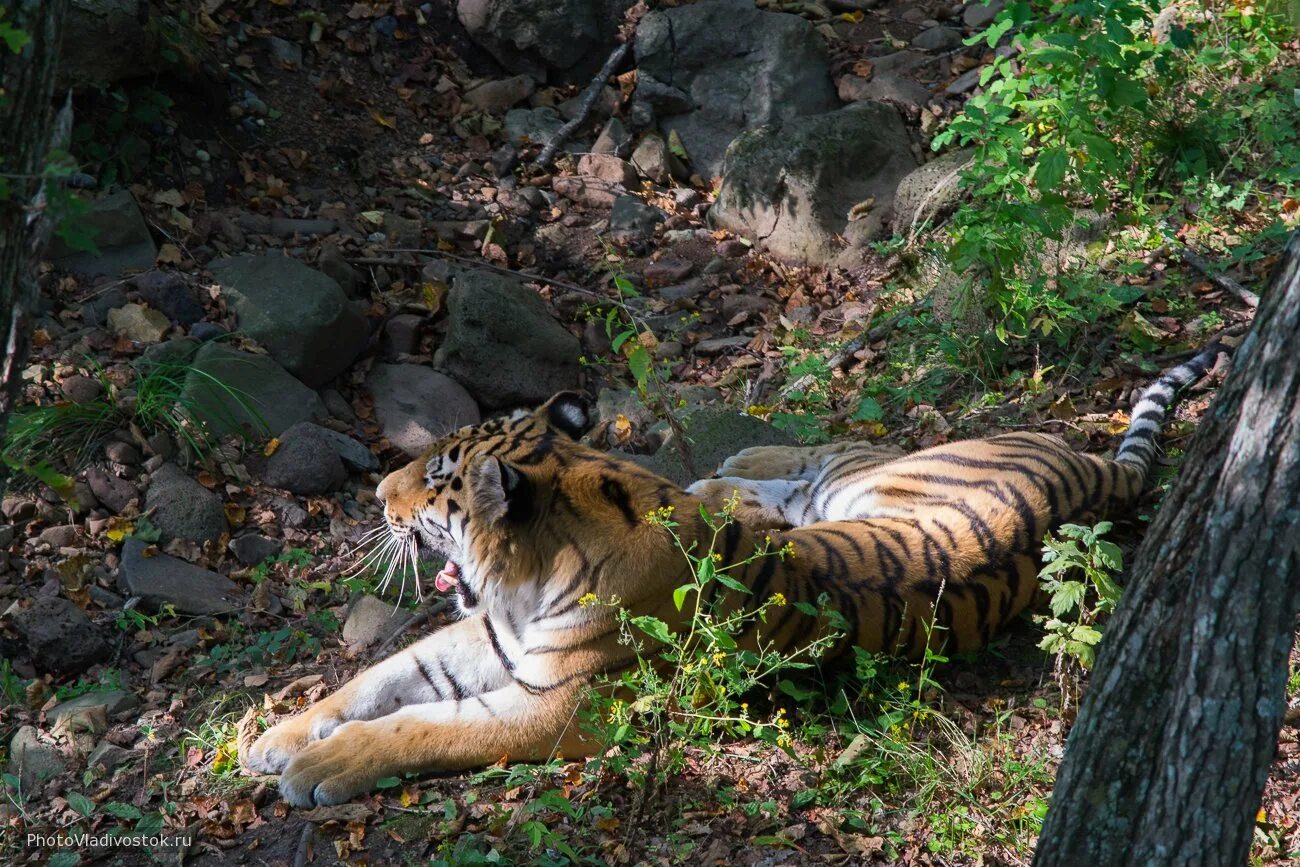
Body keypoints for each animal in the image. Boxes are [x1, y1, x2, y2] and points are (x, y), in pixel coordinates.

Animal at [245, 340, 1227, 805]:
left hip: (883, 471)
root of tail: (1099, 472)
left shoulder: (558, 705)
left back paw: (727, 479)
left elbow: (420, 726)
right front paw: (274, 737)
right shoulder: (490, 637)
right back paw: (727, 481)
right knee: (786, 469)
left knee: (816, 450)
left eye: (440, 475)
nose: (379, 493)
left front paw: (319, 765)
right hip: (859, 487)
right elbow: (378, 678)